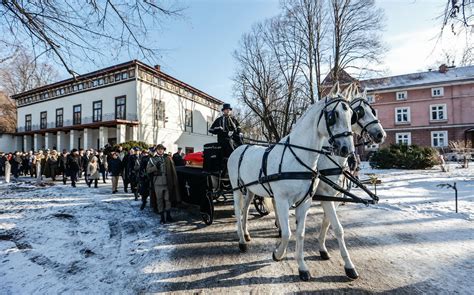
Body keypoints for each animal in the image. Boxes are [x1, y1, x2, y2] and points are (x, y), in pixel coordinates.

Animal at [228, 93, 354, 282]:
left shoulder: (305, 201)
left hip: (250, 190)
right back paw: (242, 242)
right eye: (333, 116)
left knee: (245, 211)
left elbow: (300, 233)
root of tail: (240, 147)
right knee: (237, 212)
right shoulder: (281, 200)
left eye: (352, 115)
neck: (298, 159)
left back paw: (247, 234)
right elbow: (287, 233)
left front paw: (302, 267)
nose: (347, 149)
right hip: (236, 189)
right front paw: (277, 254)